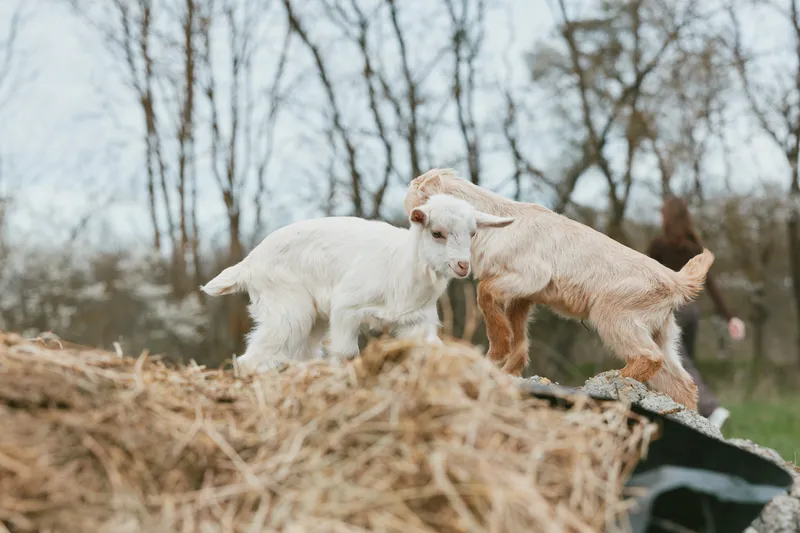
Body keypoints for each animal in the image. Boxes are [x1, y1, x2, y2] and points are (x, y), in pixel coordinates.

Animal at [201, 194, 514, 374]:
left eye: (472, 233)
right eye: (436, 233)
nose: (462, 266)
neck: (402, 268)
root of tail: (249, 263)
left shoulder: (417, 322)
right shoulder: (346, 311)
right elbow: (346, 353)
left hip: (312, 318)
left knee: (299, 354)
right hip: (288, 308)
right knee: (253, 356)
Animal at [404, 169, 713, 410]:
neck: (495, 223)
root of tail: (676, 280)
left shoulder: (530, 276)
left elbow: (485, 292)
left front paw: (497, 349)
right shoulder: (524, 295)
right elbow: (519, 332)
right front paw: (510, 365)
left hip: (614, 316)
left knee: (649, 357)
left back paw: (608, 379)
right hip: (662, 331)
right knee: (682, 381)